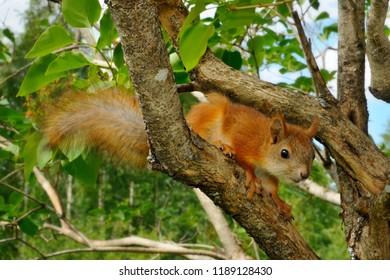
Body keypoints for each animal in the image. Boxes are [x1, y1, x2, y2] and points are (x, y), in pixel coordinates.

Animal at [43, 89, 316, 219]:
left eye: (313, 155)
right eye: (284, 153)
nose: (304, 175)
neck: (262, 146)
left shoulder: (269, 172)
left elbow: (271, 186)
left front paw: (281, 203)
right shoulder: (245, 142)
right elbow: (246, 164)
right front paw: (250, 178)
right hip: (210, 117)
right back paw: (220, 145)